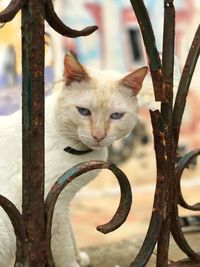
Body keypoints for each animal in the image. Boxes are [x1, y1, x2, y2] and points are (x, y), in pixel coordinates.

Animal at [0, 52, 148, 267]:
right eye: (83, 111)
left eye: (116, 116)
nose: (98, 135)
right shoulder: (52, 201)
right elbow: (62, 244)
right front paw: (71, 262)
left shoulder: (60, 199)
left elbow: (70, 234)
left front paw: (79, 257)